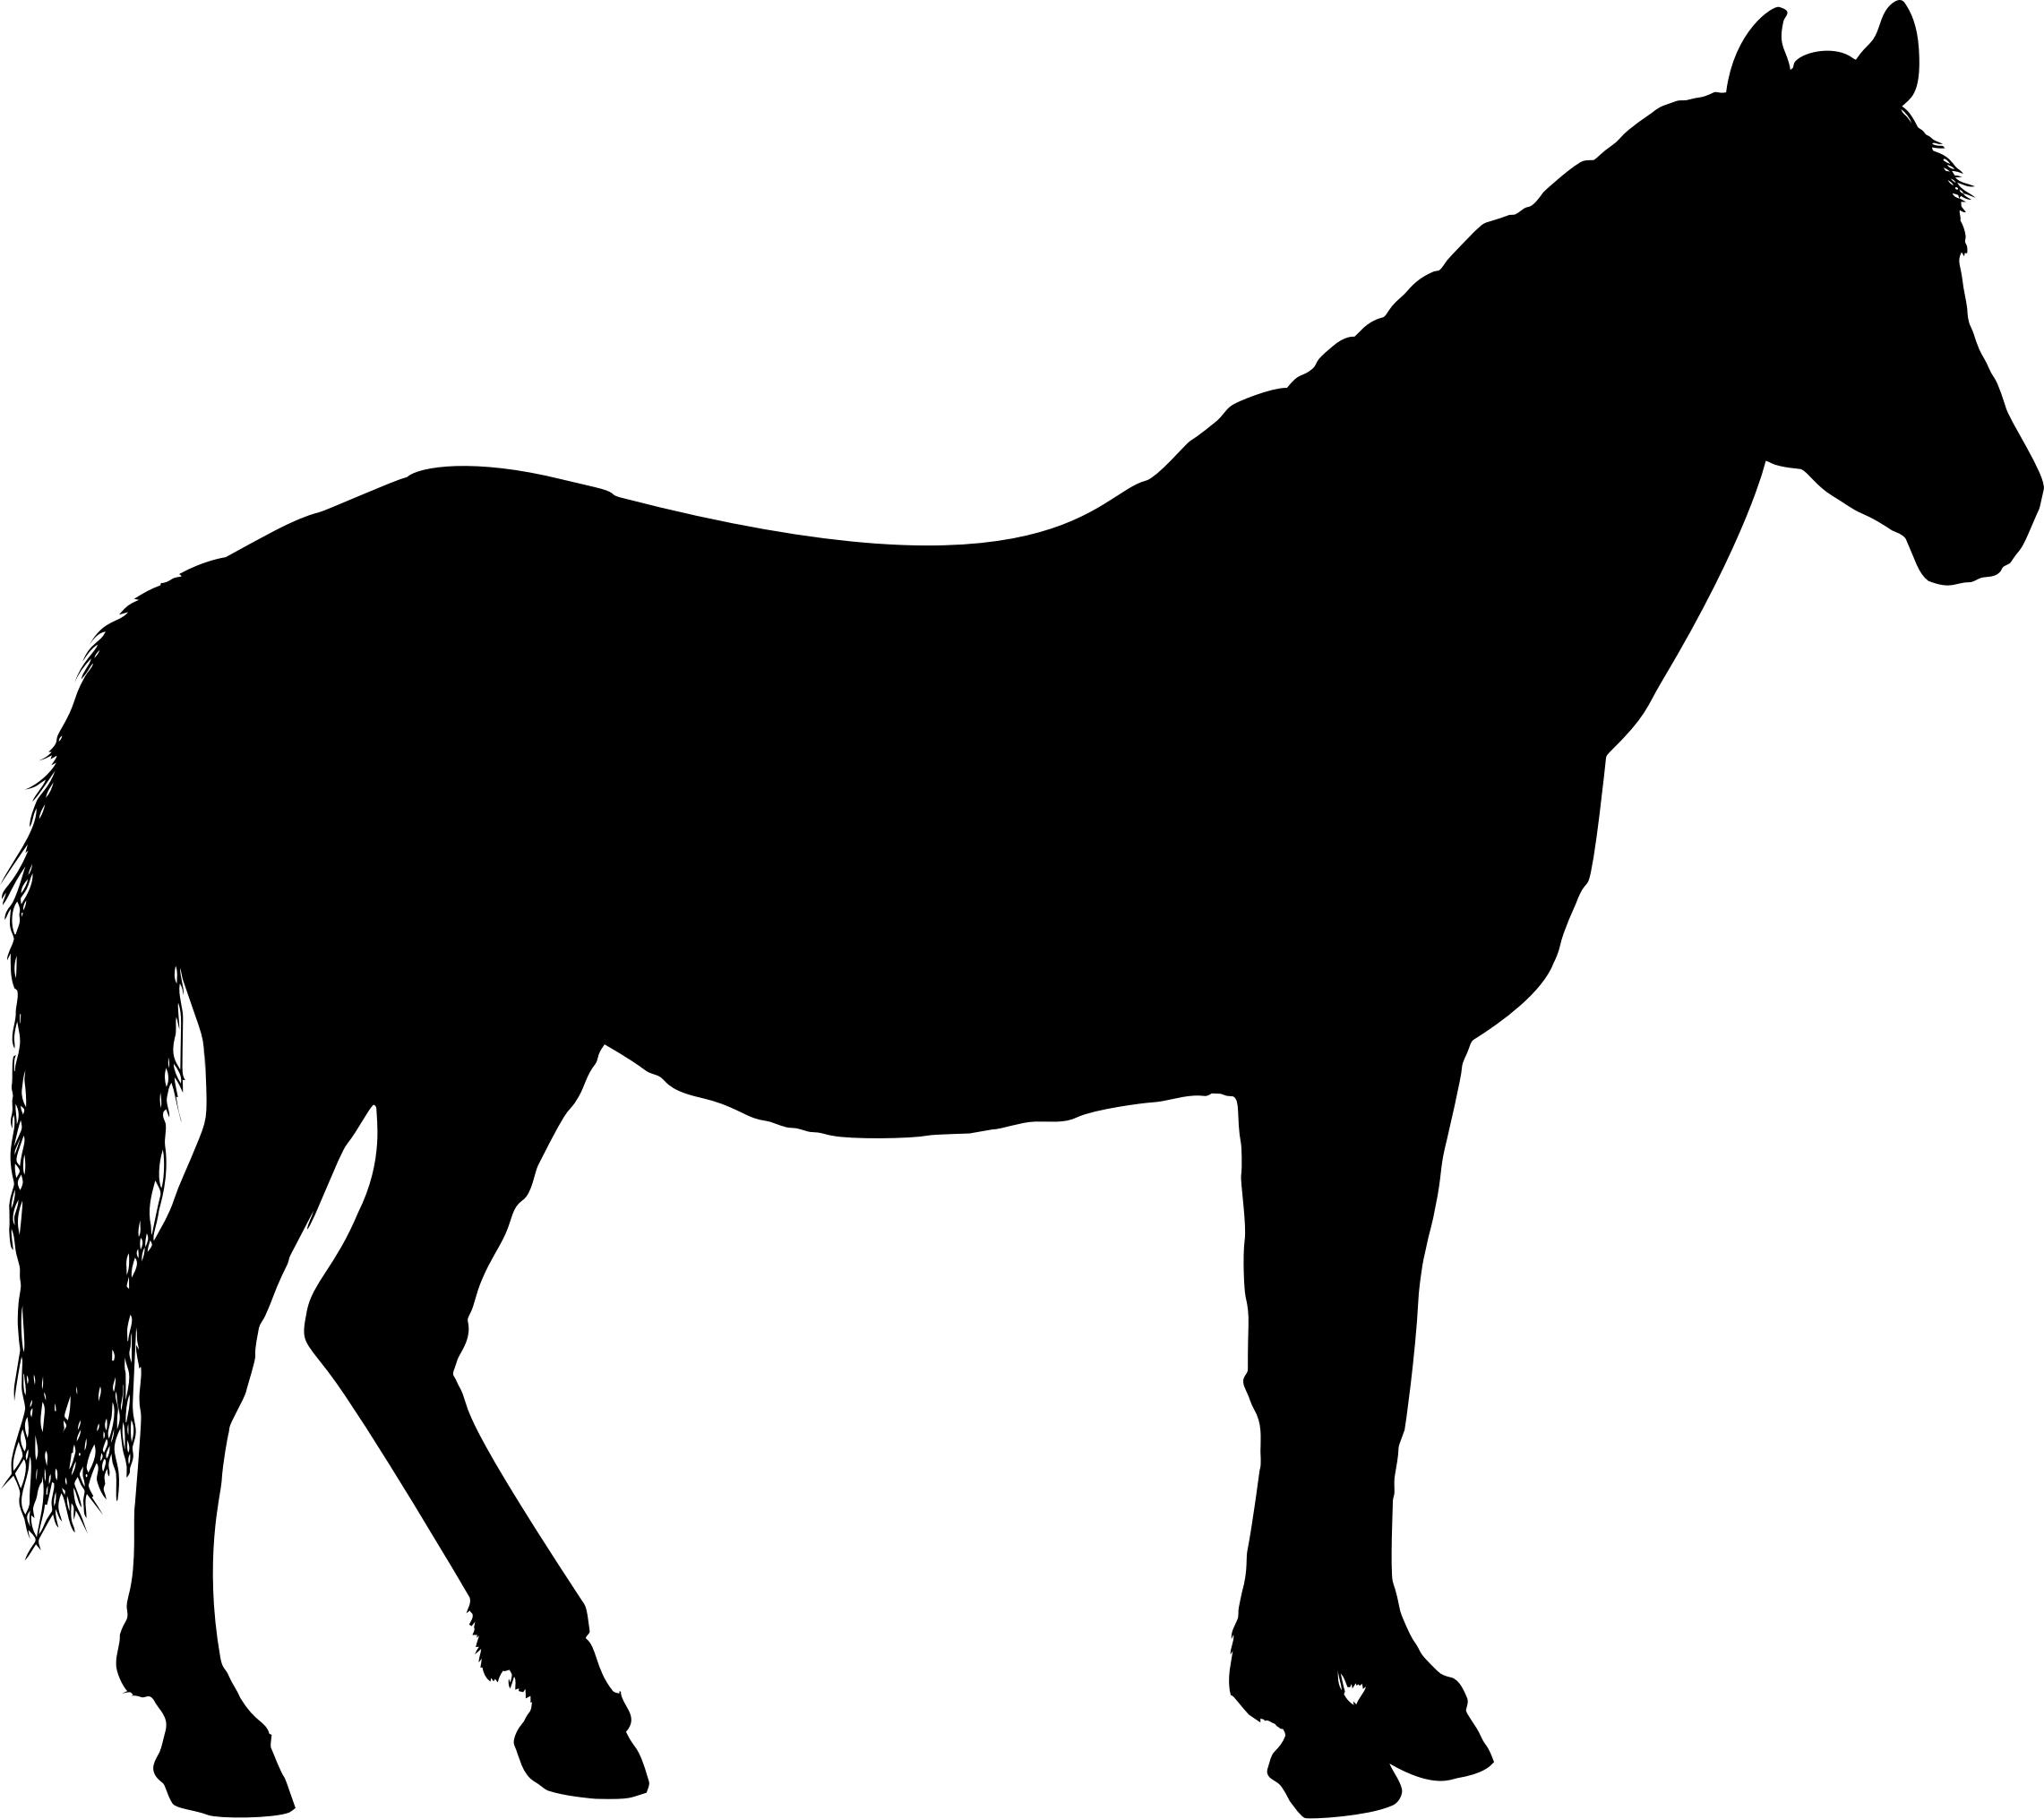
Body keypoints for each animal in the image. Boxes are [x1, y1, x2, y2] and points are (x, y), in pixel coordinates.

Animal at [8, 6, 2036, 1815]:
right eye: (1805, 253)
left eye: (1939, 239)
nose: (1992, 512)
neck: (1390, 606)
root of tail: (199, 613)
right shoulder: (1333, 1061)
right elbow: (1313, 1359)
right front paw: (1313, 1718)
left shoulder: (1387, 1068)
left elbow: (1364, 1357)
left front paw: (1388, 1689)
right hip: (329, 1044)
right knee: (211, 1316)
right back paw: (218, 1729)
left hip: (487, 1052)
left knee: (378, 1323)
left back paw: (567, 1701)